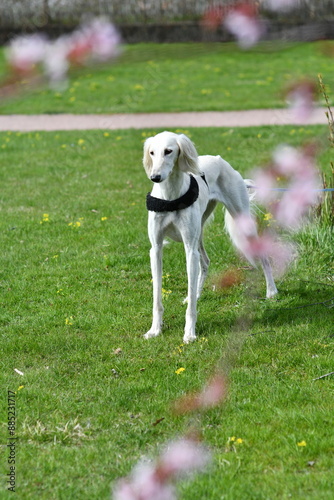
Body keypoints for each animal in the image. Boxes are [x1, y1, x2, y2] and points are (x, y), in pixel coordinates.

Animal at [142, 131, 278, 344]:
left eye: (168, 151)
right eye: (152, 152)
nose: (155, 177)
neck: (171, 196)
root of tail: (219, 160)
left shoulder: (189, 248)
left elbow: (190, 306)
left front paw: (189, 333)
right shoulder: (156, 248)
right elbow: (157, 296)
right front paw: (155, 330)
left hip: (240, 221)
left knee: (263, 256)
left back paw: (271, 291)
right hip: (199, 230)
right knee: (205, 262)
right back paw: (195, 295)